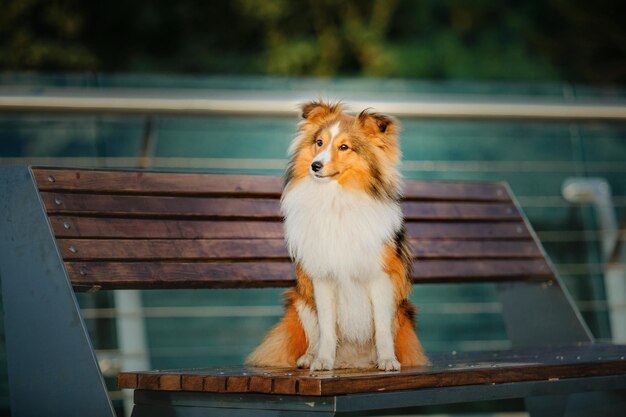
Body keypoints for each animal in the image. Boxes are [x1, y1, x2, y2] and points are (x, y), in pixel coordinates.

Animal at [246, 101, 426, 370]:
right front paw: (322, 360)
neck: (336, 199)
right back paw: (310, 357)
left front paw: (387, 360)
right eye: (319, 142)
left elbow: (382, 330)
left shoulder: (381, 279)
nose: (315, 166)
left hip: (402, 310)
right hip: (300, 301)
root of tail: (352, 360)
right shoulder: (322, 279)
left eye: (344, 147)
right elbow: (327, 329)